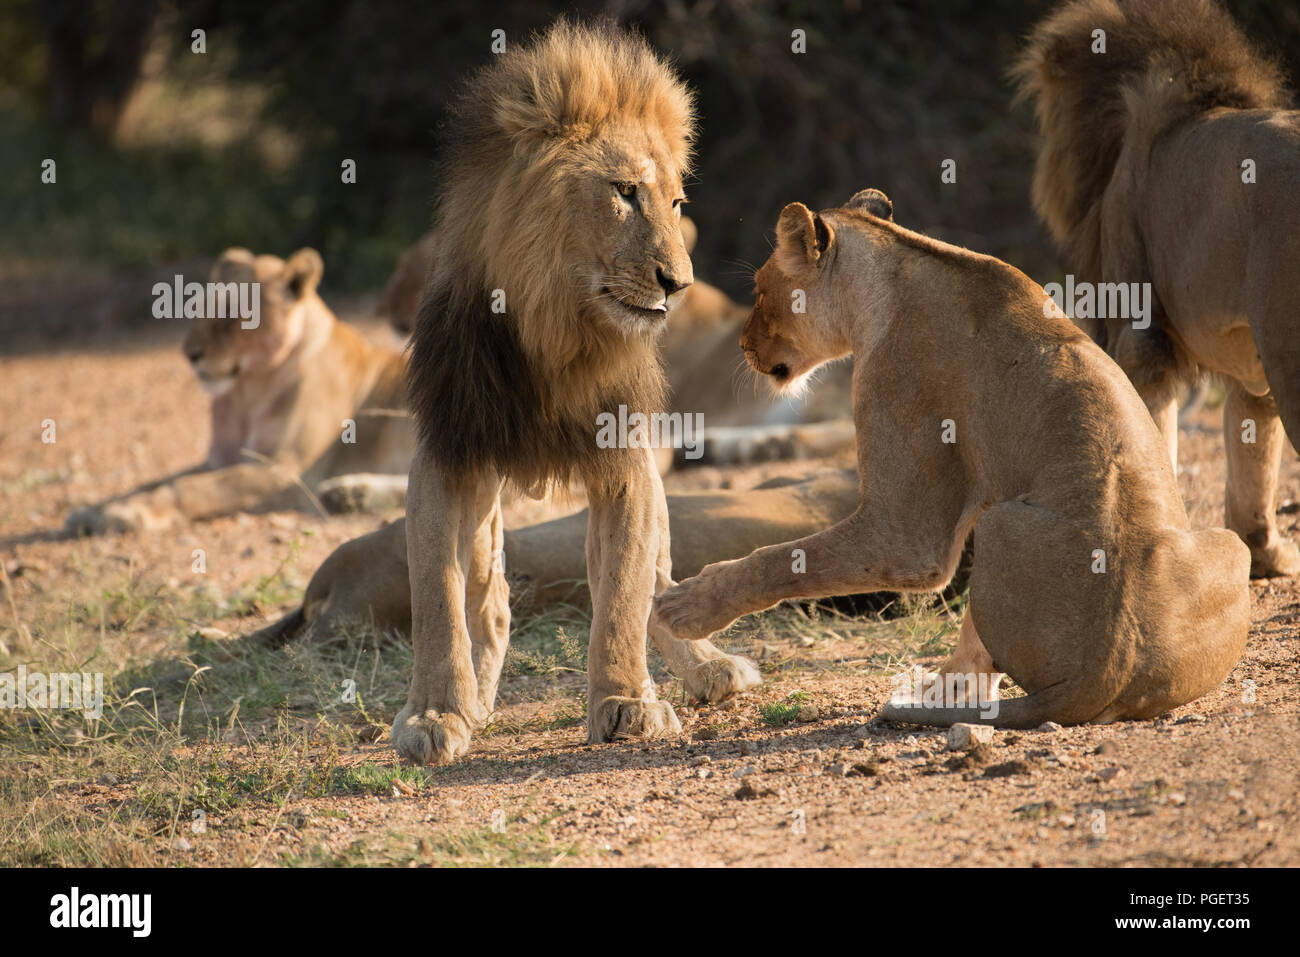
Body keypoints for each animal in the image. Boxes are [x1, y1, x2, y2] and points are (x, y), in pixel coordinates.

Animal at [395, 20, 759, 764]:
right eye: (624, 191)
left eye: (676, 203)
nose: (679, 282)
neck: (557, 325)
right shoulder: (447, 450)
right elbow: (438, 598)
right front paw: (435, 715)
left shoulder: (626, 460)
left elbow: (622, 591)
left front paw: (626, 703)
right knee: (488, 593)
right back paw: (477, 694)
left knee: (659, 585)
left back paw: (708, 666)